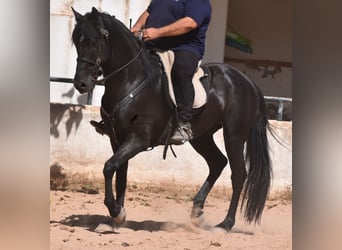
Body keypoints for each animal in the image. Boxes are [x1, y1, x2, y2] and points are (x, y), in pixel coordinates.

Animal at [71, 7, 272, 230]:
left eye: (95, 41)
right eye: (77, 42)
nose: (81, 83)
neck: (131, 81)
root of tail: (247, 82)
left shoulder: (139, 139)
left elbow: (108, 167)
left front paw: (116, 212)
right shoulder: (118, 140)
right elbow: (119, 173)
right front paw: (115, 219)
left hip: (234, 136)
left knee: (238, 174)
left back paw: (225, 224)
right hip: (202, 137)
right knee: (217, 163)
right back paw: (197, 212)